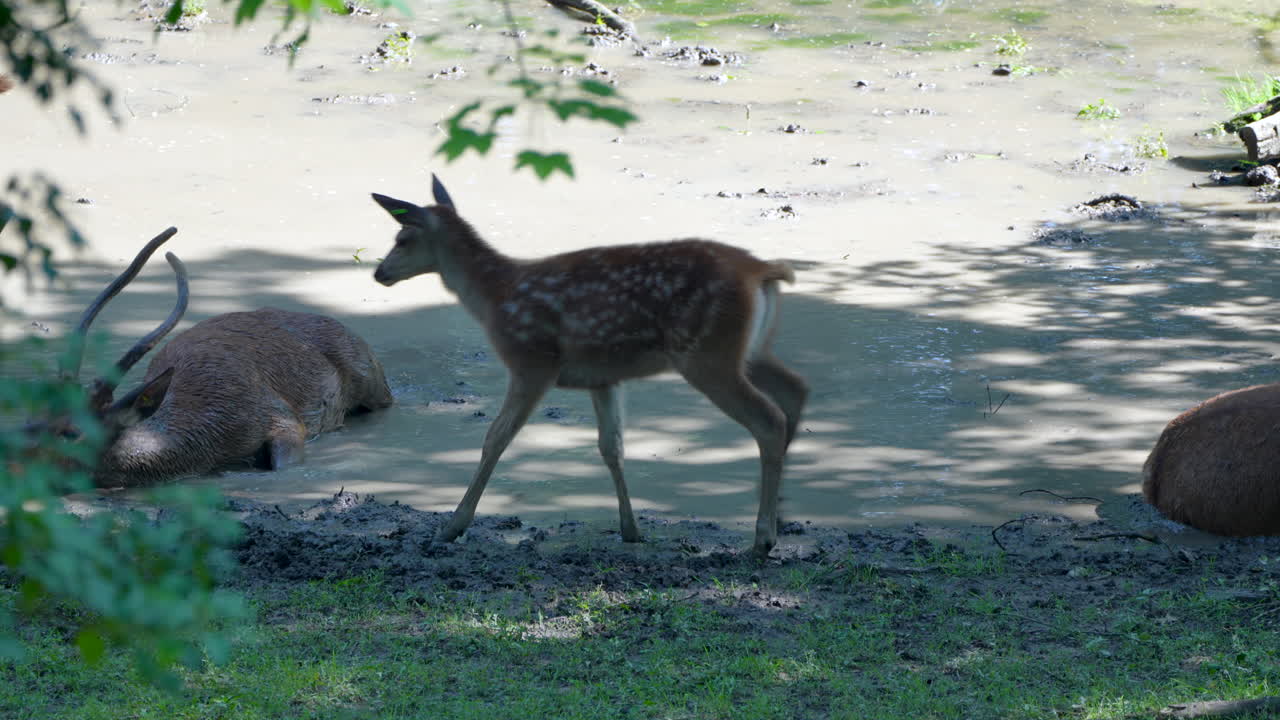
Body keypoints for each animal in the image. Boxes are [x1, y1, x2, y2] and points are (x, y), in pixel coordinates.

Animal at [371, 176, 808, 558]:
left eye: (403, 239)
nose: (379, 272)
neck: (494, 296)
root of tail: (760, 270)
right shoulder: (603, 377)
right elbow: (611, 447)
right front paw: (631, 530)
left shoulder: (531, 361)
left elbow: (496, 438)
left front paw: (452, 527)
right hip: (747, 351)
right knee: (795, 389)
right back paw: (781, 516)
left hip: (708, 354)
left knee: (769, 418)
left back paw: (762, 537)